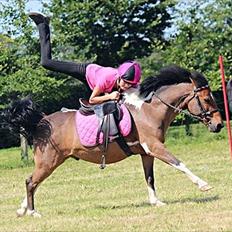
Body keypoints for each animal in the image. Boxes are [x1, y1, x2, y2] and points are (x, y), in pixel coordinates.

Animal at [2, 64, 222, 217]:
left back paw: (22, 209)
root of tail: (41, 121)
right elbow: (179, 164)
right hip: (49, 161)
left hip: (51, 162)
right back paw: (32, 212)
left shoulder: (146, 152)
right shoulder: (155, 147)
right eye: (207, 99)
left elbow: (149, 177)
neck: (150, 109)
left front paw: (155, 202)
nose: (219, 125)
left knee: (33, 183)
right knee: (31, 182)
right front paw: (204, 185)